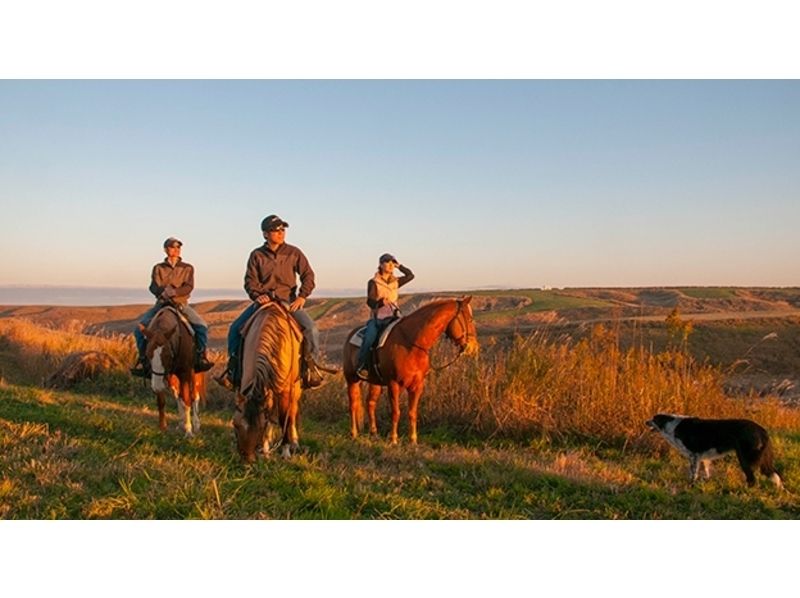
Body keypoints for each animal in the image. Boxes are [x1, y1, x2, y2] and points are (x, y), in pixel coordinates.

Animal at [136, 308, 203, 438]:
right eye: (147, 354)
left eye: (167, 354)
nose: (157, 386)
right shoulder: (160, 377)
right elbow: (162, 402)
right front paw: (162, 427)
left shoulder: (184, 374)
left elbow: (187, 399)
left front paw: (189, 431)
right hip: (172, 379)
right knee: (178, 396)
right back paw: (181, 423)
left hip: (194, 375)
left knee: (194, 396)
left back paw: (196, 425)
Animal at [234, 304, 306, 464]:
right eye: (235, 425)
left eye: (259, 428)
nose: (247, 460)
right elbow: (270, 414)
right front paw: (266, 450)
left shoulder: (286, 390)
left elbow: (284, 417)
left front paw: (285, 451)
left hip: (295, 389)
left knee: (293, 411)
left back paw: (295, 442)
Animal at [340, 296, 478, 446]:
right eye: (470, 320)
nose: (474, 348)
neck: (412, 344)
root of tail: (351, 335)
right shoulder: (394, 384)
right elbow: (396, 412)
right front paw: (394, 439)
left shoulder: (417, 386)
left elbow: (412, 412)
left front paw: (413, 439)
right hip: (351, 379)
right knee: (353, 404)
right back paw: (354, 433)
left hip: (375, 382)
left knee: (370, 403)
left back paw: (374, 433)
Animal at [648, 414, 784, 490]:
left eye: (653, 419)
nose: (645, 421)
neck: (672, 426)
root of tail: (762, 430)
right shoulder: (702, 457)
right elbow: (706, 470)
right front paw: (705, 481)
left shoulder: (694, 455)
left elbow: (693, 473)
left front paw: (691, 485)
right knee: (775, 474)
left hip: (745, 458)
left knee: (752, 479)